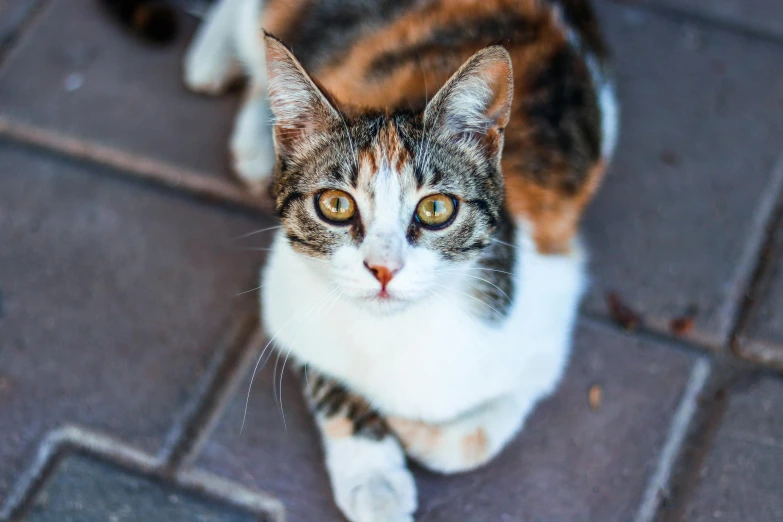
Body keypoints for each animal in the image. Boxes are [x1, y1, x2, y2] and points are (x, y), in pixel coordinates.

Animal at [185, 2, 620, 516]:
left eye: (435, 209)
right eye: (336, 204)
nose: (383, 269)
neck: (394, 332)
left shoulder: (547, 314)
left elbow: (475, 441)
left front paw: (412, 432)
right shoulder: (287, 297)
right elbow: (331, 375)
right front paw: (374, 480)